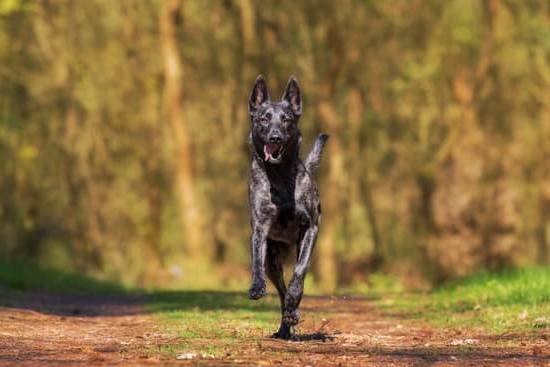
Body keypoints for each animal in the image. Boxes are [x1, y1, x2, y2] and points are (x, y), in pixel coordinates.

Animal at [248, 75, 330, 342]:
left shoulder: (310, 229)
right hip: (273, 261)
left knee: (293, 284)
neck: (280, 175)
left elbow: (299, 274)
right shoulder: (260, 228)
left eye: (286, 120)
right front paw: (256, 287)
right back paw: (285, 327)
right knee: (280, 290)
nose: (275, 137)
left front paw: (295, 304)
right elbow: (256, 260)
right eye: (264, 118)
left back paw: (291, 315)